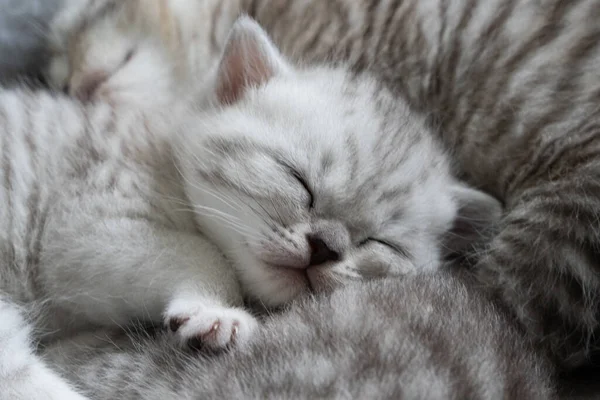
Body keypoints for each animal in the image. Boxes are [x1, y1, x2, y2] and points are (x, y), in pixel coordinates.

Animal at [0, 15, 500, 400]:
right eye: (299, 181)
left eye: (381, 243)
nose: (324, 247)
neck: (163, 156)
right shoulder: (83, 221)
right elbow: (206, 256)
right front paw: (215, 312)